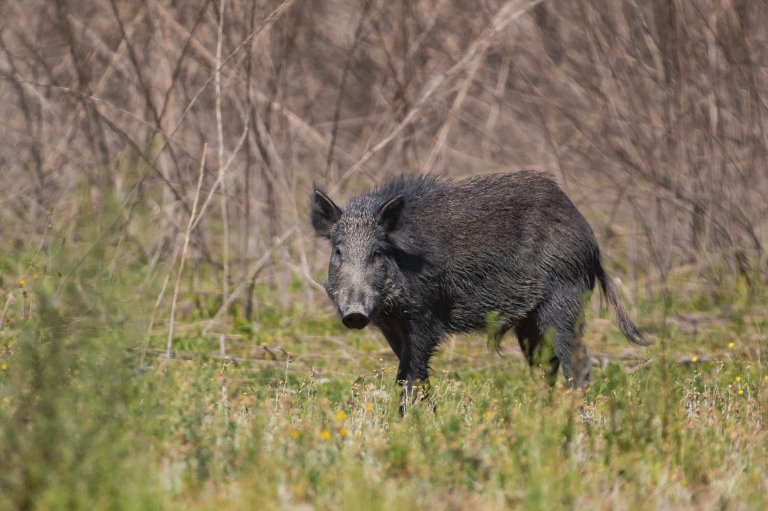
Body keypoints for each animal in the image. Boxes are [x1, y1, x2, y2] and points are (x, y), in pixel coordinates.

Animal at [311, 172, 648, 409]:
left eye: (377, 253)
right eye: (338, 251)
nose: (354, 313)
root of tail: (590, 240)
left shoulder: (425, 317)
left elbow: (411, 375)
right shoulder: (392, 326)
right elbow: (415, 376)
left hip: (564, 301)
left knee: (577, 365)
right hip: (530, 322)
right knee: (546, 367)